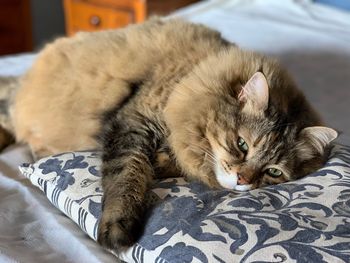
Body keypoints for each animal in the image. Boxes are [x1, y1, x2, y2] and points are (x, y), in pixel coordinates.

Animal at [0, 18, 338, 252]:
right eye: (241, 144)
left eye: (273, 172)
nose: (243, 180)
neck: (193, 76)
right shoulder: (134, 123)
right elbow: (127, 175)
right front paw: (117, 228)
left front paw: (162, 164)